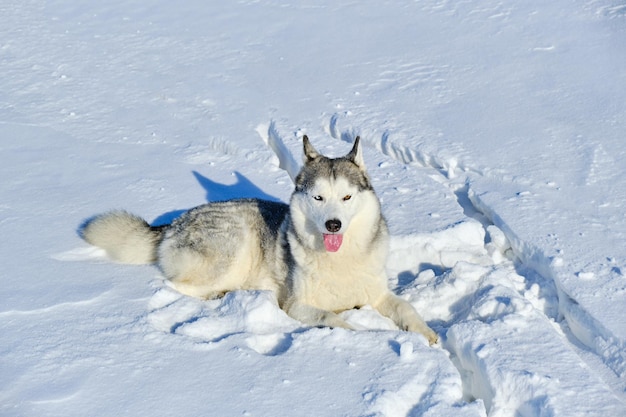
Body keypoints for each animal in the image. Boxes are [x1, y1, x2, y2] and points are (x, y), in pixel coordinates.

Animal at [81, 136, 434, 344]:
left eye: (347, 197)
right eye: (318, 197)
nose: (333, 225)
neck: (340, 261)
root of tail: (173, 224)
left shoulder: (378, 295)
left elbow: (407, 309)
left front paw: (428, 335)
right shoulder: (294, 305)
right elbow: (332, 318)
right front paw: (365, 335)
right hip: (233, 246)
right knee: (174, 286)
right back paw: (220, 295)